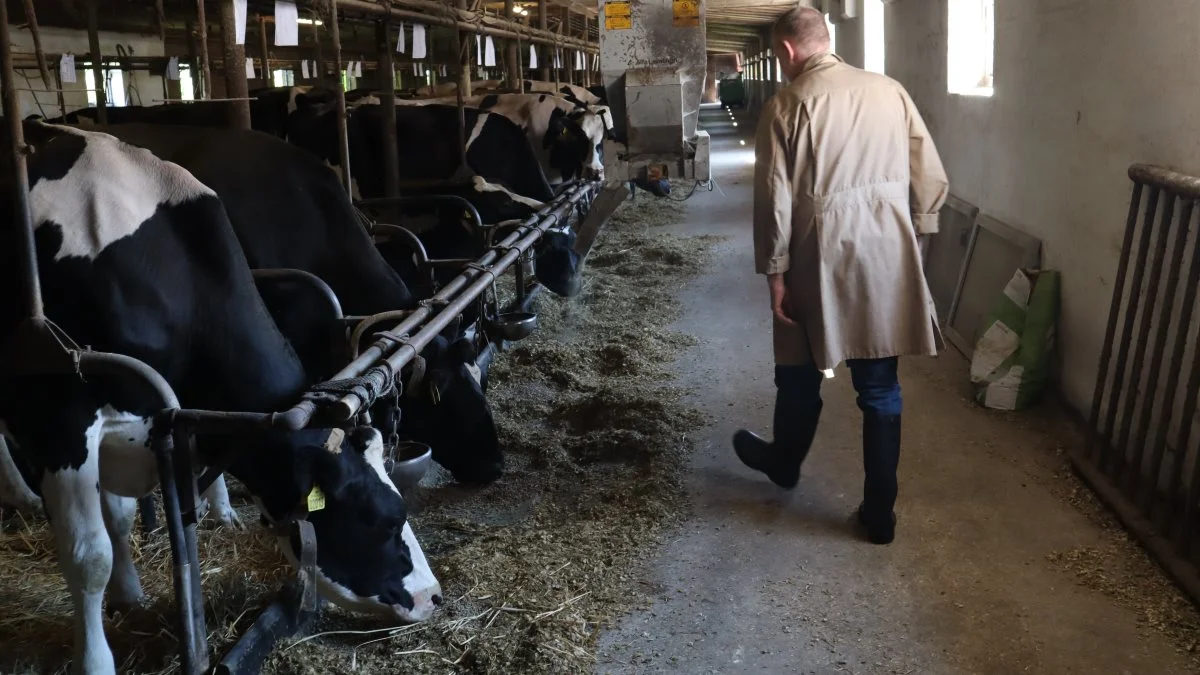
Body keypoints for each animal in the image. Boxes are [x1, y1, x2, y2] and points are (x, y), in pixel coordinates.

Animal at [1, 120, 441, 672]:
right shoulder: (61, 418)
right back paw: (20, 495)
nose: (434, 596)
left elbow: (118, 520)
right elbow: (89, 555)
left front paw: (129, 594)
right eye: (384, 519)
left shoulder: (133, 422)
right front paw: (97, 659)